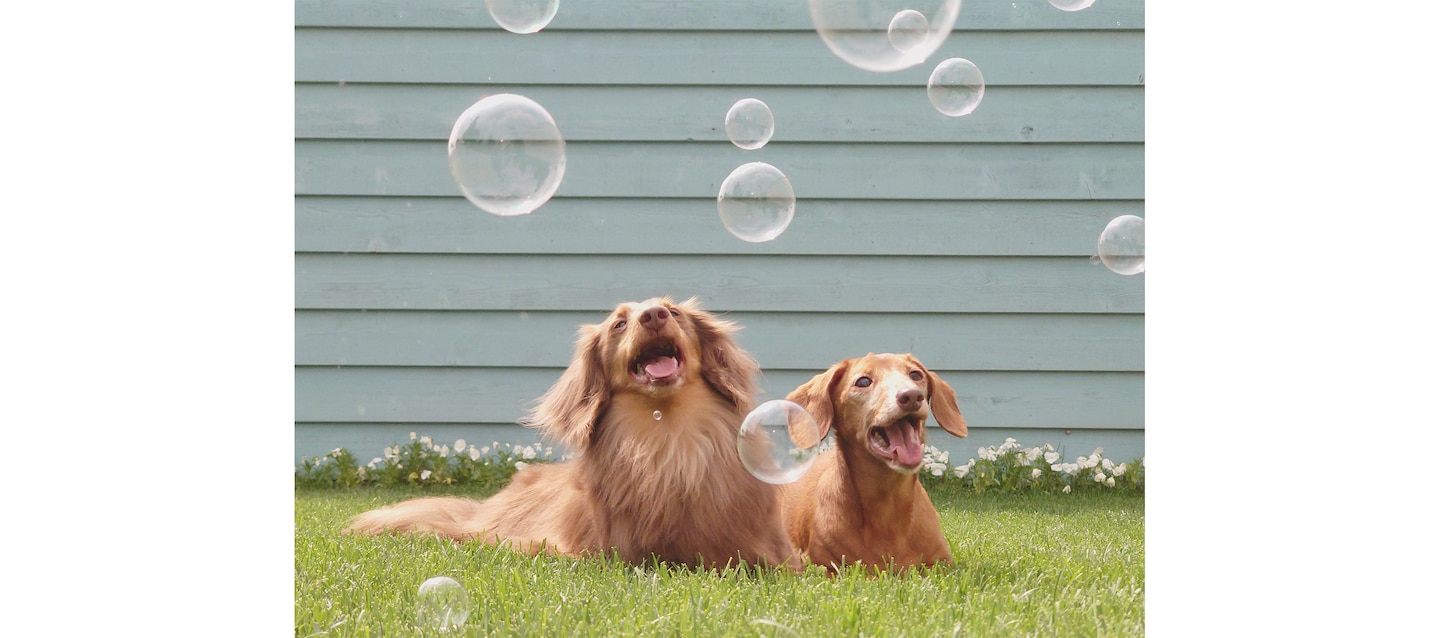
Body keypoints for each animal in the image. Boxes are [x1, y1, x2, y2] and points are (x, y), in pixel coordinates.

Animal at [777, 354, 967, 573]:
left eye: (916, 375)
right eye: (863, 382)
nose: (911, 396)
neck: (887, 507)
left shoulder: (942, 564)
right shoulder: (823, 565)